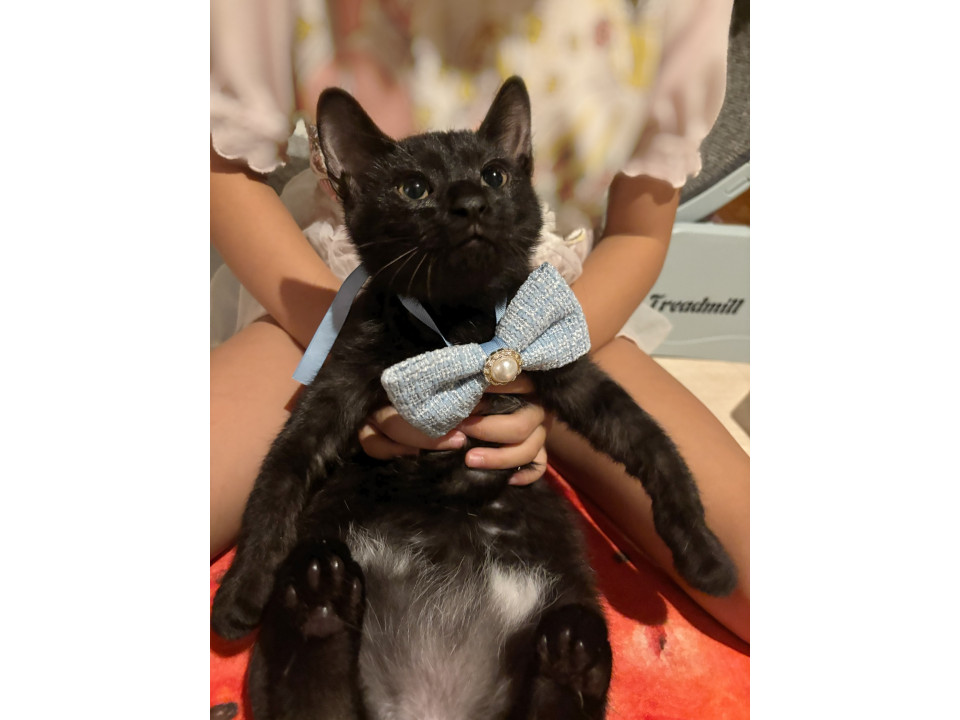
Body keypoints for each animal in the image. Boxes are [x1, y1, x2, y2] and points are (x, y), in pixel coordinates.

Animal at [211, 76, 737, 720]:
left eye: (494, 175)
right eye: (414, 188)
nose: (470, 203)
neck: (460, 324)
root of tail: (432, 702)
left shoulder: (564, 368)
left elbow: (652, 444)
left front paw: (706, 556)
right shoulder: (337, 386)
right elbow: (279, 476)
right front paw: (239, 592)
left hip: (568, 604)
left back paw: (570, 656)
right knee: (315, 697)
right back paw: (318, 599)